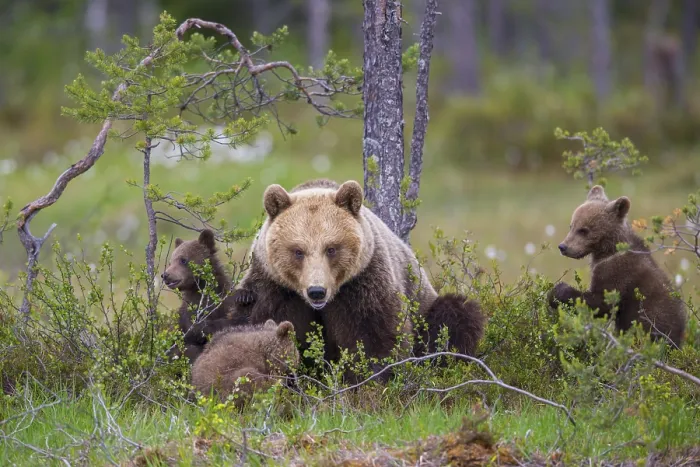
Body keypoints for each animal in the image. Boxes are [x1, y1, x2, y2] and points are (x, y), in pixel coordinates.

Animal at [161, 229, 252, 363]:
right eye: (170, 262)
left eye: (183, 260)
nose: (165, 275)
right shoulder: (190, 312)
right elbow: (197, 329)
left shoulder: (222, 298)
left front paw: (245, 296)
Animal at [230, 178, 486, 375]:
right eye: (298, 251)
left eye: (331, 248)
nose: (316, 291)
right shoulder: (275, 289)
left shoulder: (363, 285)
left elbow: (375, 338)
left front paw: (371, 381)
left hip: (425, 305)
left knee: (456, 315)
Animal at [549, 185, 686, 348]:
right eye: (571, 226)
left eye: (583, 229)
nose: (563, 247)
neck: (607, 250)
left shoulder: (619, 273)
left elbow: (602, 302)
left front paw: (557, 291)